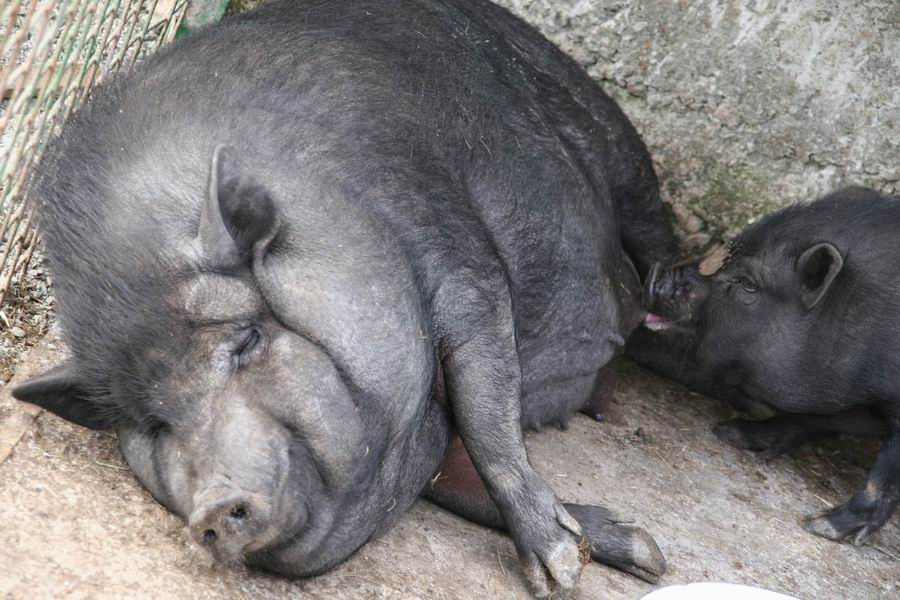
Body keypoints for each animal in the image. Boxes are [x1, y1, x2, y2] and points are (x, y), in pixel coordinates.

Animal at [11, 0, 676, 596]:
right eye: (154, 422)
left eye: (247, 340)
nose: (215, 504)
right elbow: (463, 470)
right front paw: (612, 555)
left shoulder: (451, 248)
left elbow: (487, 409)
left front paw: (561, 572)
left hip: (606, 132)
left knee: (648, 217)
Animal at [630, 186, 900, 544]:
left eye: (748, 284)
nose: (653, 275)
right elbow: (814, 418)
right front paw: (730, 433)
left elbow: (883, 478)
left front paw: (818, 526)